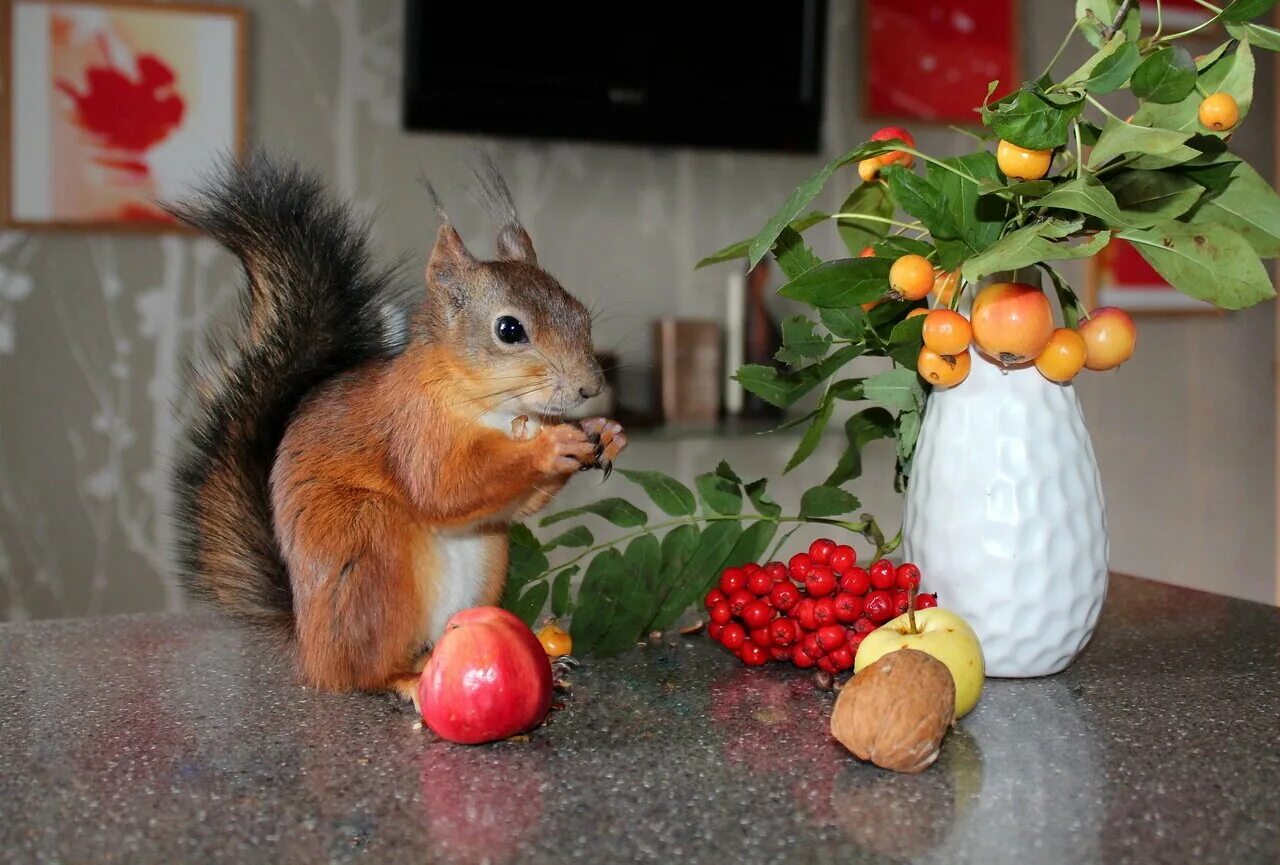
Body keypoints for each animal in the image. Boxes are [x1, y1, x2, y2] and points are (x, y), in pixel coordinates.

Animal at [167, 153, 627, 701]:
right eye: (509, 329)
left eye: (580, 313)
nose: (589, 387)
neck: (495, 409)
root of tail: (310, 642)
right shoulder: (415, 429)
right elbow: (442, 487)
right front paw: (551, 446)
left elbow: (518, 503)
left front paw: (605, 431)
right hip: (369, 548)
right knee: (365, 670)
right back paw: (404, 678)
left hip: (486, 554)